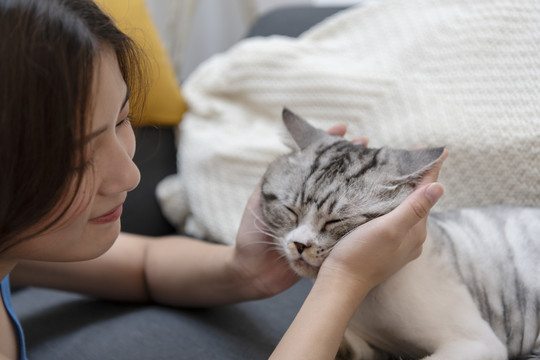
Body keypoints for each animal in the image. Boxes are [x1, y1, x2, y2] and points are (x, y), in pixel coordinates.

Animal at [260, 109, 536, 360]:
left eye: (334, 221)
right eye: (290, 211)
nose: (299, 244)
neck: (363, 298)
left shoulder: (477, 342)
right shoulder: (369, 345)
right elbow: (351, 345)